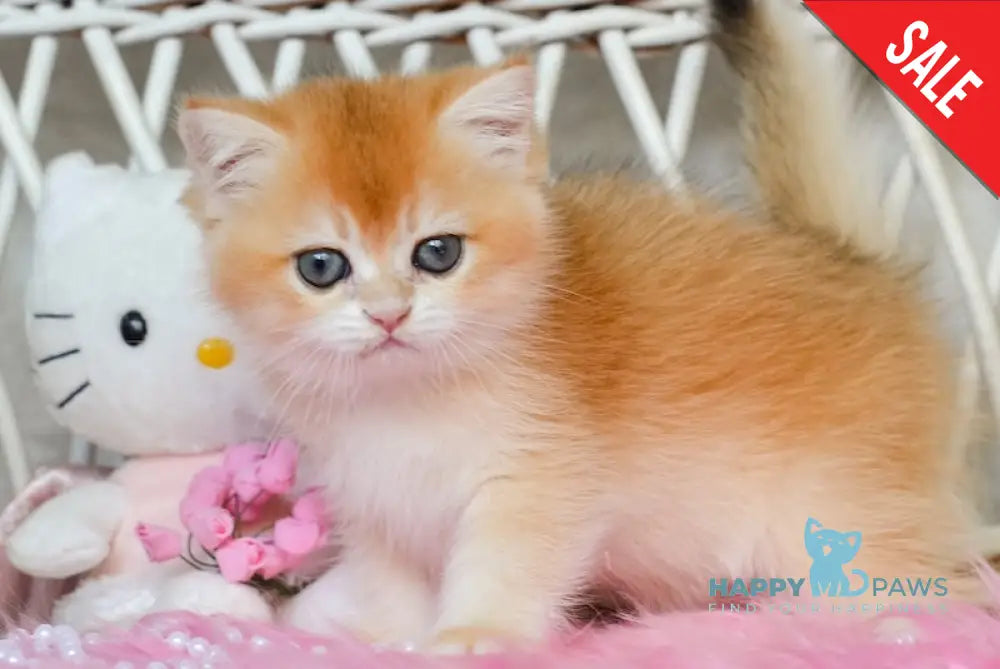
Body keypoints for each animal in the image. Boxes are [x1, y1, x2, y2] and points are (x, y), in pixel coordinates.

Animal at [178, 0, 976, 652]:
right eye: (322, 266)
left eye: (437, 253)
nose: (388, 313)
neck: (407, 400)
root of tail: (854, 261)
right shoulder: (379, 507)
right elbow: (391, 583)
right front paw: (391, 639)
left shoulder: (538, 478)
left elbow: (505, 563)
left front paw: (475, 633)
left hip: (839, 520)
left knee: (936, 583)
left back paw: (897, 626)